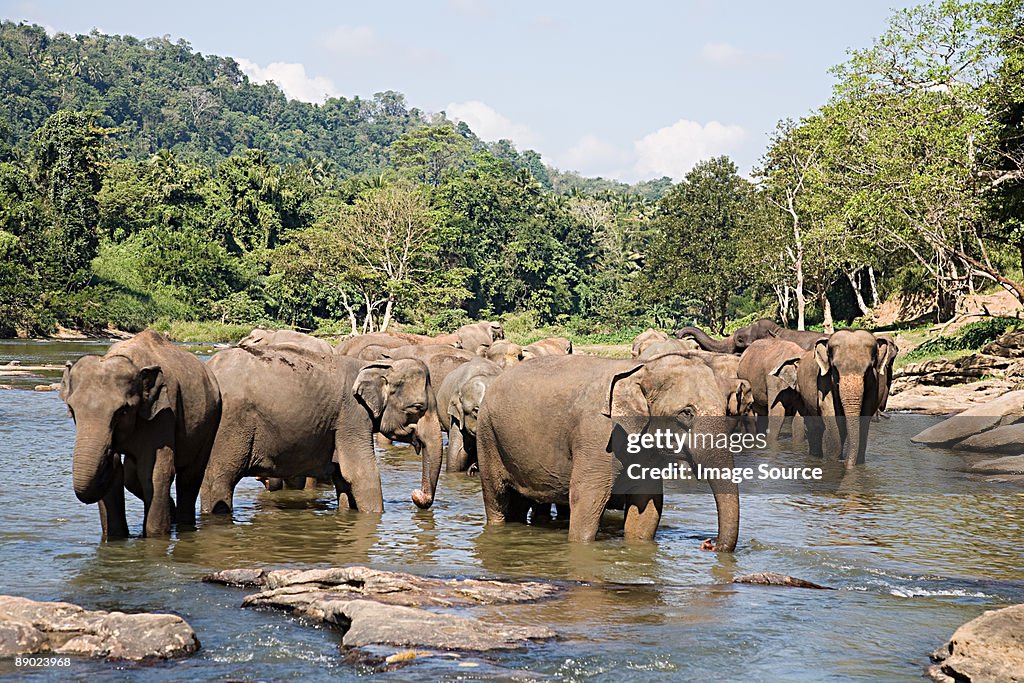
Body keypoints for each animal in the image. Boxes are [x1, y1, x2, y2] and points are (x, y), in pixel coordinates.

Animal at [60, 331, 222, 540]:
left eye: (122, 411)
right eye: (71, 410)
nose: (109, 450)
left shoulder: (163, 412)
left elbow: (154, 472)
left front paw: (155, 537)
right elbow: (120, 476)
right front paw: (115, 538)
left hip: (211, 421)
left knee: (189, 476)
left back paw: (182, 522)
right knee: (131, 476)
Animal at [200, 350, 444, 516]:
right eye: (417, 408)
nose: (415, 494)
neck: (377, 366)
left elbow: (343, 479)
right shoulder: (352, 415)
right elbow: (361, 473)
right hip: (229, 427)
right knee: (219, 482)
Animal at [475, 356, 741, 548]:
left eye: (726, 410)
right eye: (686, 413)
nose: (709, 544)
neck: (643, 368)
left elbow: (647, 507)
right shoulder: (597, 436)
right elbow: (587, 498)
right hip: (487, 436)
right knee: (497, 498)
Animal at [794, 327, 892, 466]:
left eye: (868, 369)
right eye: (835, 369)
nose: (845, 462)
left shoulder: (876, 385)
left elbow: (865, 416)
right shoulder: (823, 381)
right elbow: (831, 415)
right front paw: (834, 462)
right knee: (814, 428)